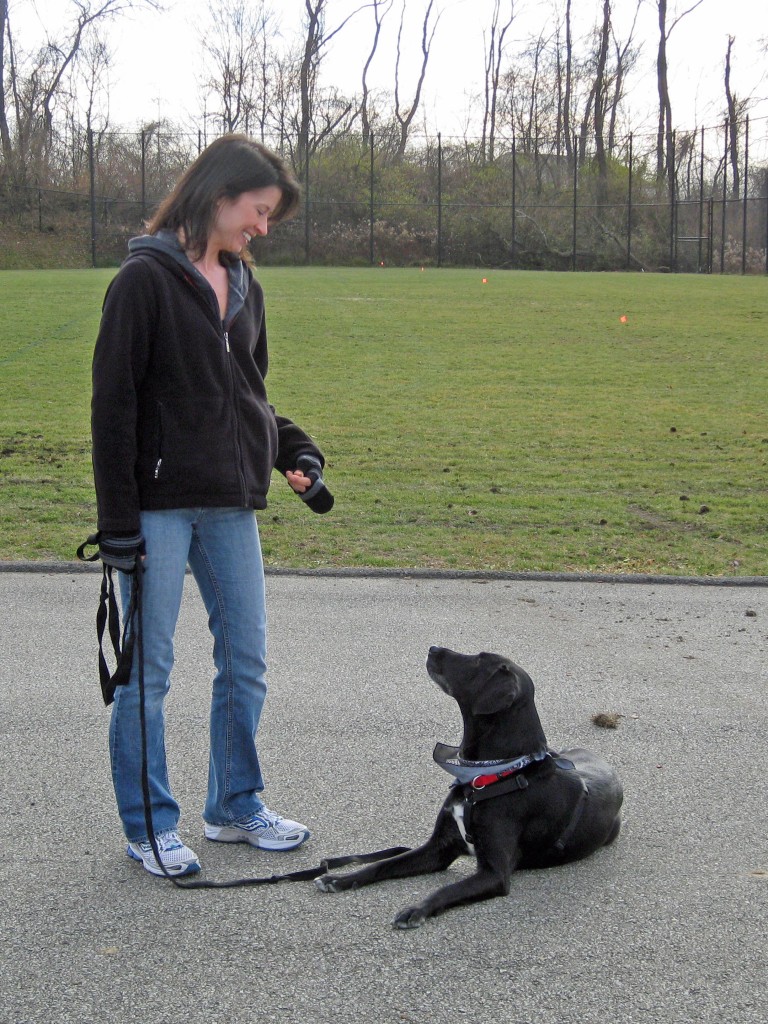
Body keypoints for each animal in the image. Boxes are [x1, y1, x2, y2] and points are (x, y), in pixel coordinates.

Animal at [315, 647, 622, 929]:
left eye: (477, 661)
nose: (433, 648)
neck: (486, 776)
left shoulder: (494, 874)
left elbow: (446, 889)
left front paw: (417, 909)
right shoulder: (438, 848)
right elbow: (383, 863)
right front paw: (340, 878)